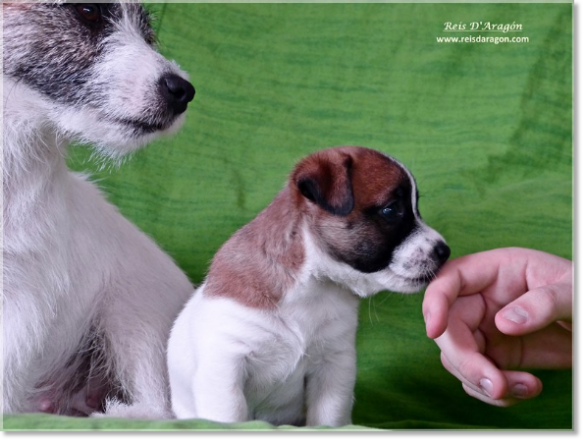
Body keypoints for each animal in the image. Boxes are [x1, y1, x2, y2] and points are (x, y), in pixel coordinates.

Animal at [2, 2, 196, 418]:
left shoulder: (25, 296)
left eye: (147, 34)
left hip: (133, 313)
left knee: (164, 411)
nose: (183, 91)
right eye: (88, 11)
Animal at [167, 147, 450, 426]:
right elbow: (230, 416)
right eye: (391, 211)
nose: (445, 251)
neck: (313, 286)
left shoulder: (333, 366)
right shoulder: (226, 365)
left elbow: (328, 417)